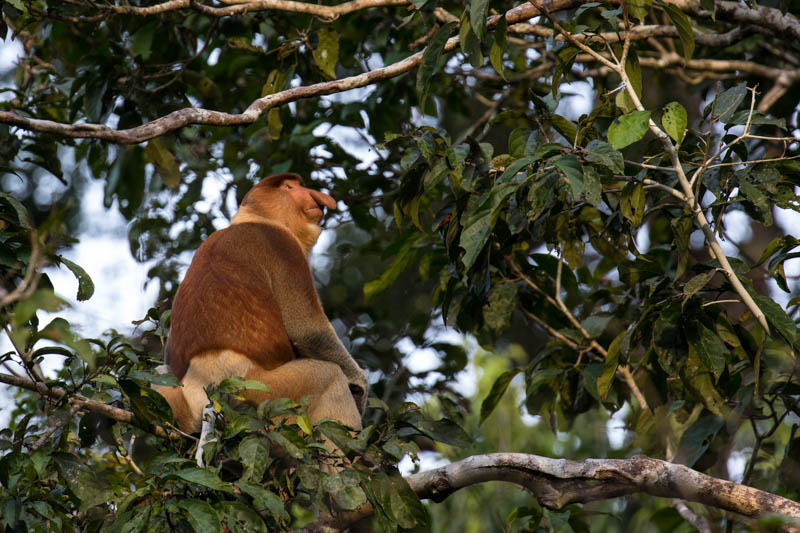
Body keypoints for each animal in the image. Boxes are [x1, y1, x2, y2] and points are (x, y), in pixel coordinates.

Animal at [155, 172, 368, 434]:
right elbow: (308, 330)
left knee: (161, 372)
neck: (253, 219)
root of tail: (203, 391)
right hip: (262, 390)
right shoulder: (282, 247)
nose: (317, 197)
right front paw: (360, 384)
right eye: (289, 188)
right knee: (329, 378)